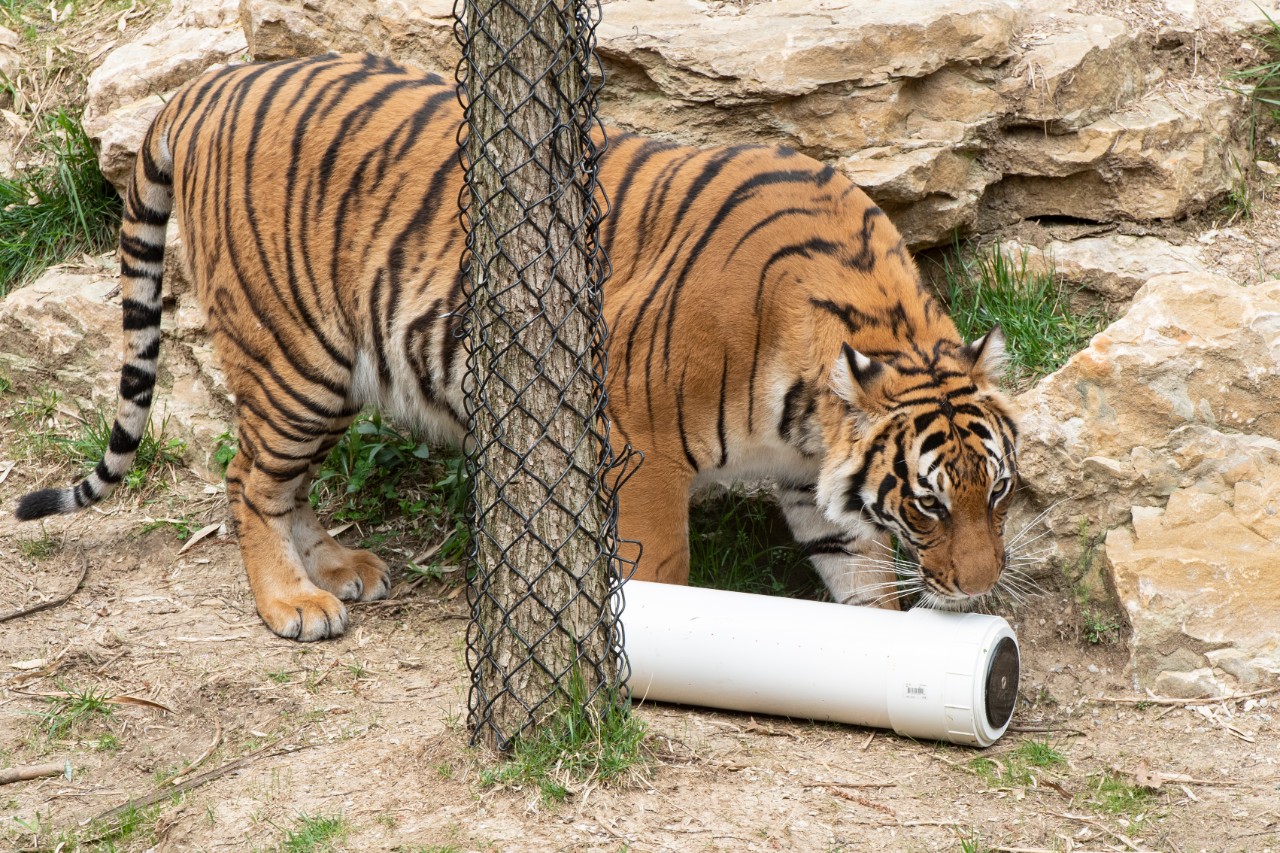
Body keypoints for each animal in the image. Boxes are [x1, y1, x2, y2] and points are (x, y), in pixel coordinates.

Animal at [17, 51, 1018, 637]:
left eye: (997, 492)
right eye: (930, 503)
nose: (977, 590)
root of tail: (207, 85)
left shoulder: (806, 472)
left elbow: (859, 569)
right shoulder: (640, 443)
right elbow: (663, 568)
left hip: (332, 370)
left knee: (277, 477)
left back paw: (338, 567)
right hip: (294, 352)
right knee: (244, 478)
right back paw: (292, 601)